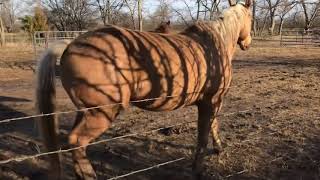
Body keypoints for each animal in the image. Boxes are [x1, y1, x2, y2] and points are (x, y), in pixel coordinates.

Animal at [36, 0, 252, 179]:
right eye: (251, 17)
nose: (247, 43)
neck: (214, 44)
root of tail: (70, 45)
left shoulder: (210, 102)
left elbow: (213, 125)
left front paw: (218, 148)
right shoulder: (211, 101)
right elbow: (204, 135)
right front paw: (199, 167)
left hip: (85, 112)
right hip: (101, 113)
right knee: (77, 141)